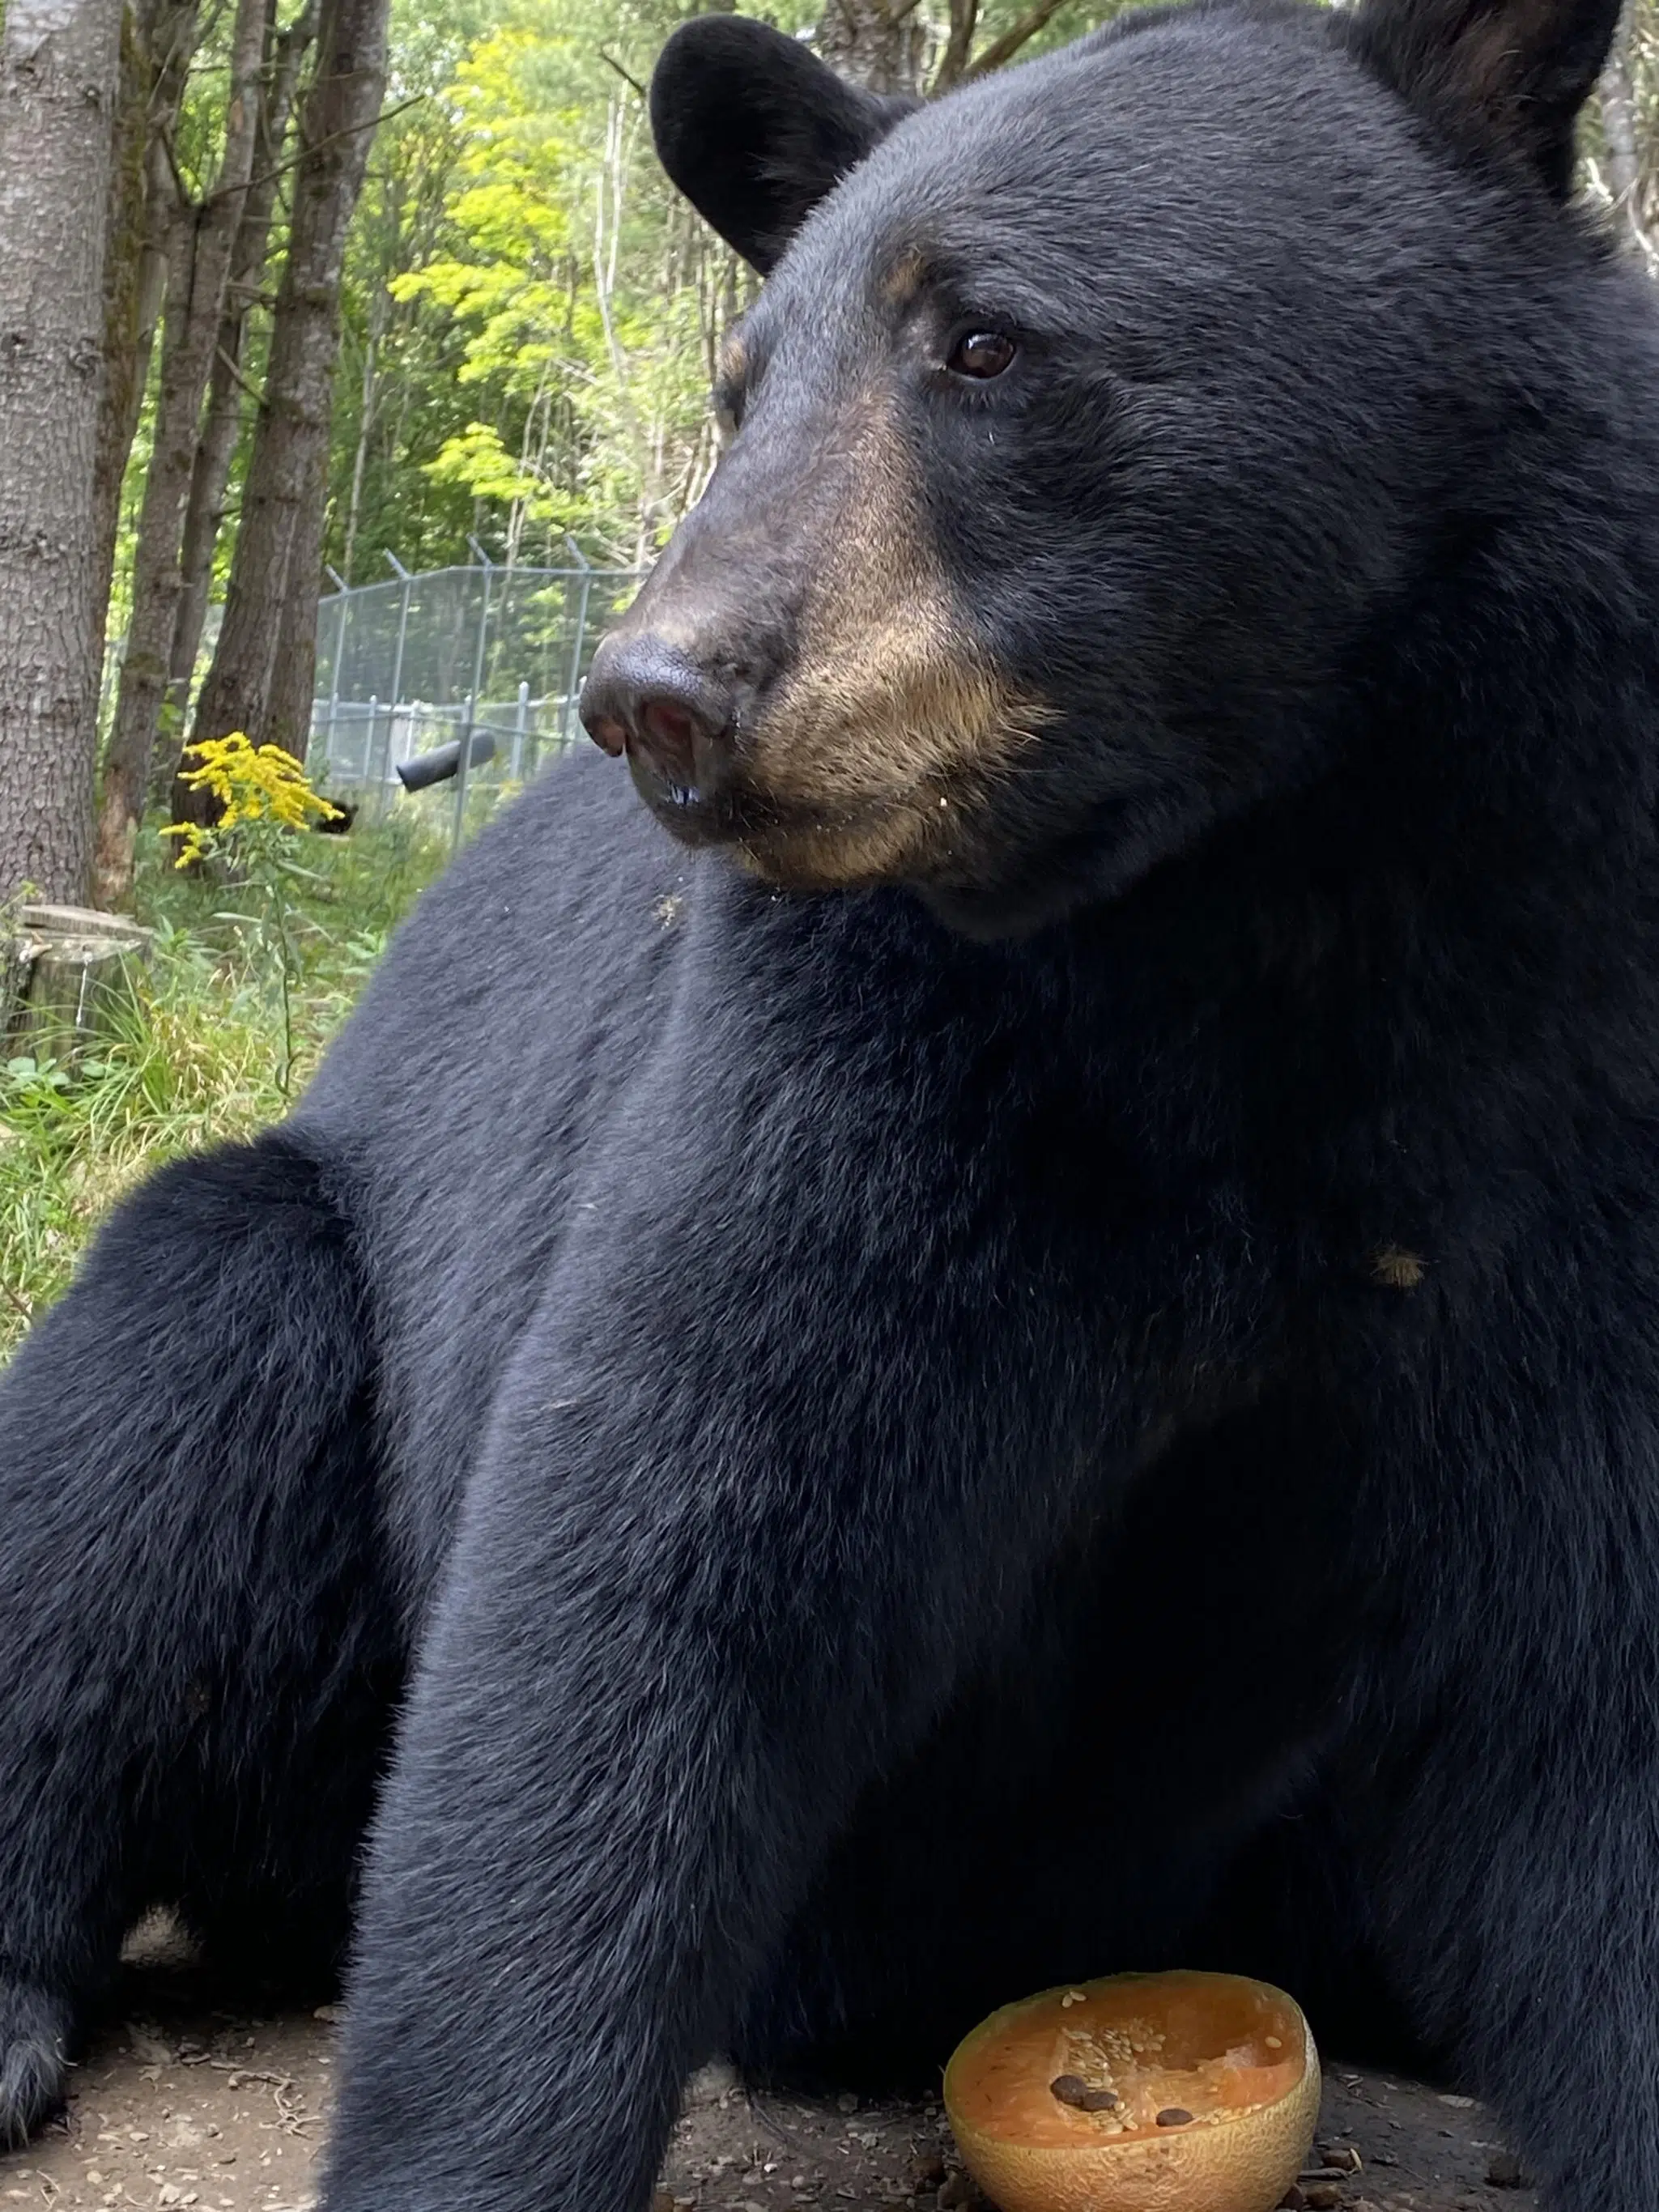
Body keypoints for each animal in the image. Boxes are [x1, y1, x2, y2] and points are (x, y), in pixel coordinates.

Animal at [3, 0, 1659, 2203]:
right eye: (741, 383)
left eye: (982, 340)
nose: (661, 695)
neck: (1248, 882)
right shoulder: (865, 1062)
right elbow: (658, 1553)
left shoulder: (1558, 1067)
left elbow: (1583, 1688)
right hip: (291, 1308)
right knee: (148, 1436)